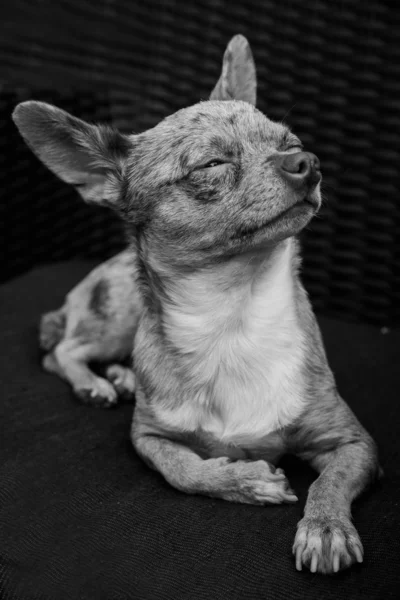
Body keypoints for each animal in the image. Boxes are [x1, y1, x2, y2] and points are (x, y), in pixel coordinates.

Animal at [13, 34, 382, 576]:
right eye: (213, 164)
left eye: (291, 143)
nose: (308, 162)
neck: (233, 319)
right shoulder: (146, 440)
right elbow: (183, 468)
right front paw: (244, 479)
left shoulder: (354, 444)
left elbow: (328, 481)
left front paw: (326, 528)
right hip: (118, 316)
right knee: (61, 350)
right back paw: (94, 384)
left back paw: (121, 377)